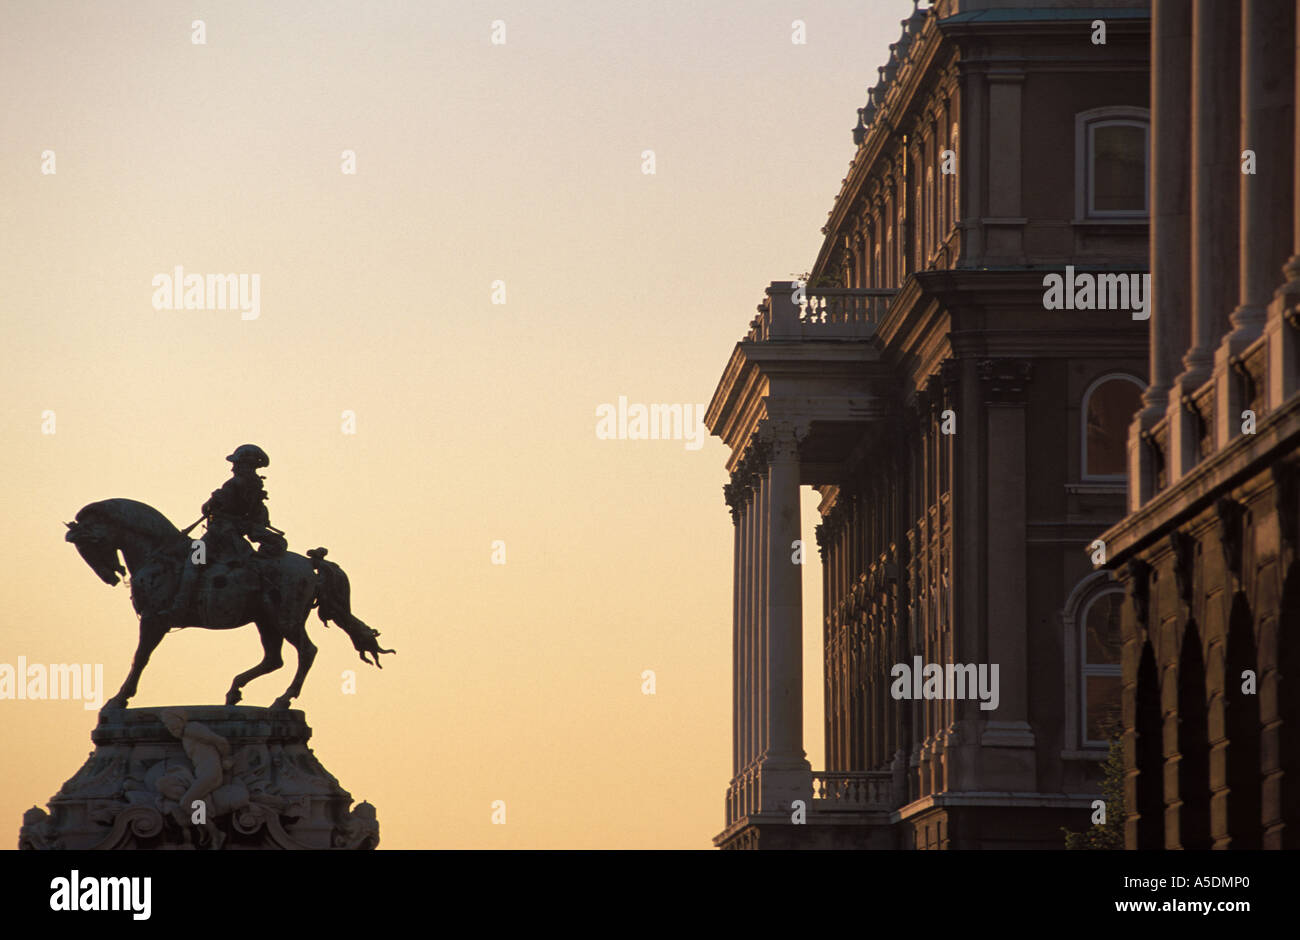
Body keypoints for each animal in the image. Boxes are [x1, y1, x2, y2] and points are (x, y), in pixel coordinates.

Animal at [67, 499, 390, 712]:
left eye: (88, 544)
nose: (109, 577)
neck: (159, 552)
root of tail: (311, 564)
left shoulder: (153, 620)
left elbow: (140, 658)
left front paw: (119, 699)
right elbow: (141, 658)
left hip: (285, 619)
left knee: (307, 652)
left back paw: (282, 700)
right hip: (266, 621)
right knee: (274, 659)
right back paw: (235, 691)